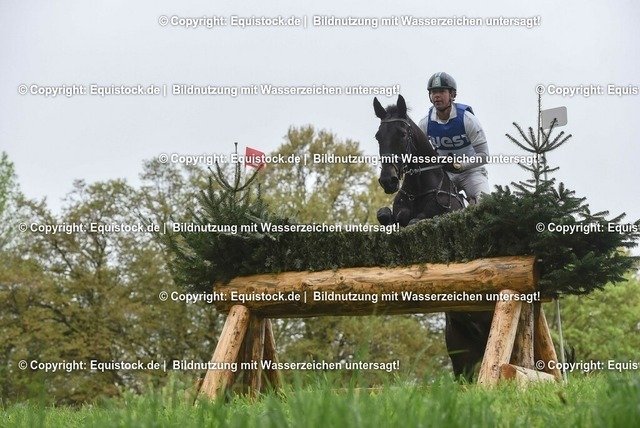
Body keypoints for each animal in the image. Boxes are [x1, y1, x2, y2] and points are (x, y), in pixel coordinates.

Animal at [373, 94, 493, 381]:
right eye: (378, 136)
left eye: (402, 134)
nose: (388, 181)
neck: (420, 189)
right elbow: (385, 216)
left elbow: (419, 223)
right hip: (460, 350)